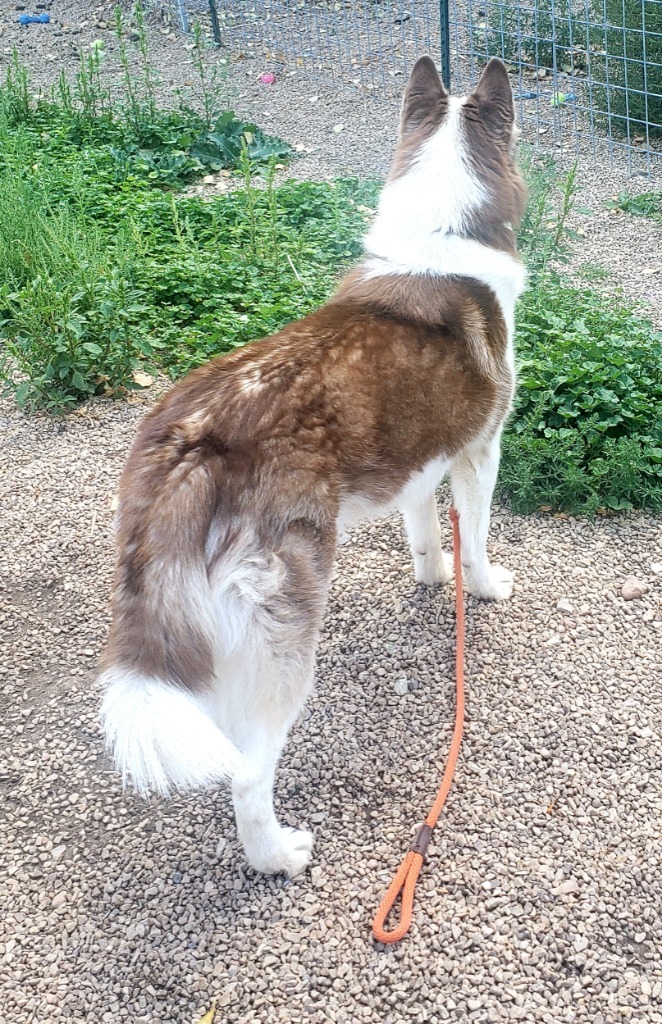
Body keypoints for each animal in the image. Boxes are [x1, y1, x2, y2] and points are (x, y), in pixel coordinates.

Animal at [99, 54, 528, 872]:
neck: (439, 237)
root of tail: (193, 440)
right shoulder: (478, 454)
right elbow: (478, 542)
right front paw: (484, 588)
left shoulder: (418, 465)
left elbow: (426, 537)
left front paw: (432, 577)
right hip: (288, 630)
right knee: (247, 770)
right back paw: (277, 856)